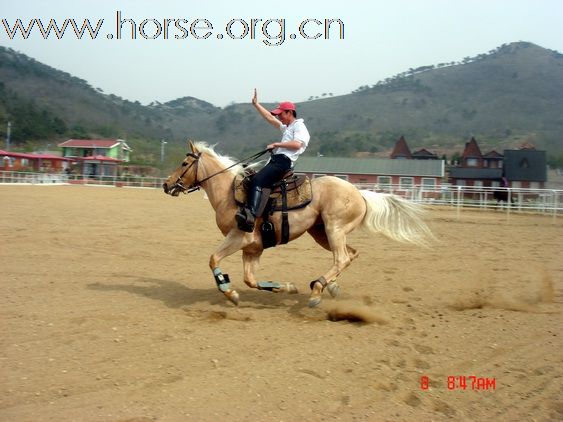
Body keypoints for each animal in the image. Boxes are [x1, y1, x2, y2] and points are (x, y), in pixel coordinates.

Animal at [161, 142, 434, 306]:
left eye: (184, 163)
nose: (166, 184)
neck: (230, 192)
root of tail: (359, 193)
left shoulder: (240, 237)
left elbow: (213, 259)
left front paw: (229, 291)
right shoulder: (253, 248)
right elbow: (250, 279)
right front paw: (285, 287)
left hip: (333, 229)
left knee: (342, 257)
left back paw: (317, 289)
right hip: (322, 233)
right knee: (350, 254)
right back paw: (330, 287)